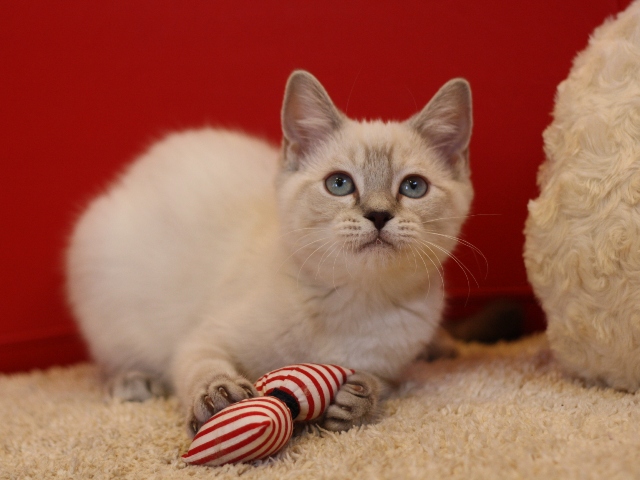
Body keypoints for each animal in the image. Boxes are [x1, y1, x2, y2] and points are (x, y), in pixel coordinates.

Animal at [67, 71, 472, 436]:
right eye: (339, 184)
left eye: (413, 187)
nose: (378, 215)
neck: (356, 298)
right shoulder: (204, 337)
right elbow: (202, 364)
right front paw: (218, 396)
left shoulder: (390, 366)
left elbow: (376, 382)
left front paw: (357, 398)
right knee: (110, 358)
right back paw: (132, 382)